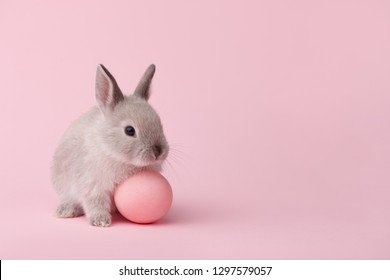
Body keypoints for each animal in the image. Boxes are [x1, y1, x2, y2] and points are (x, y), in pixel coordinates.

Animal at [50, 64, 169, 226]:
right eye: (129, 130)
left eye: (160, 124)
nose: (158, 152)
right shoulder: (93, 186)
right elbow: (95, 203)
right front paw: (101, 221)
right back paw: (65, 212)